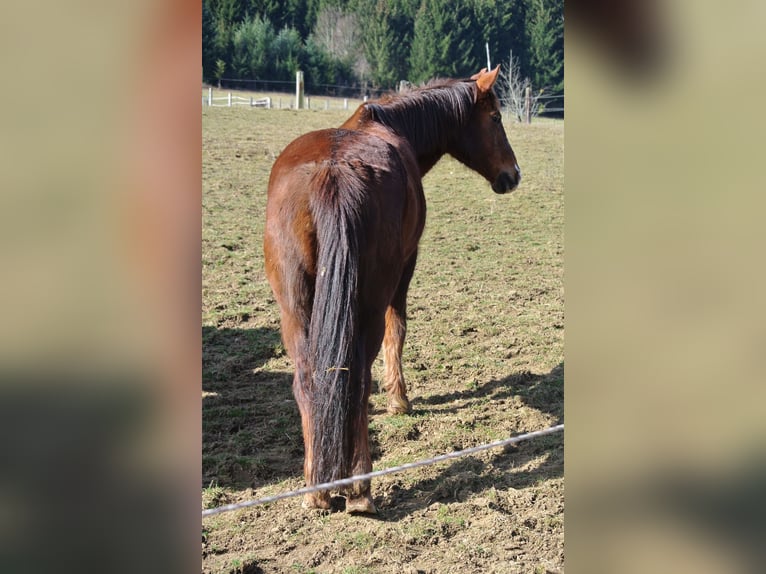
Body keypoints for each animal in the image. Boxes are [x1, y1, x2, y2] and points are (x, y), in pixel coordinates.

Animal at [264, 68, 520, 516]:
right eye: (495, 118)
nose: (514, 175)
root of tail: (332, 173)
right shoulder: (406, 264)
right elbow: (397, 329)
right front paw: (399, 399)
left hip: (296, 310)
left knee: (308, 381)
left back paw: (316, 490)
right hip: (368, 300)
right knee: (357, 381)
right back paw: (359, 489)